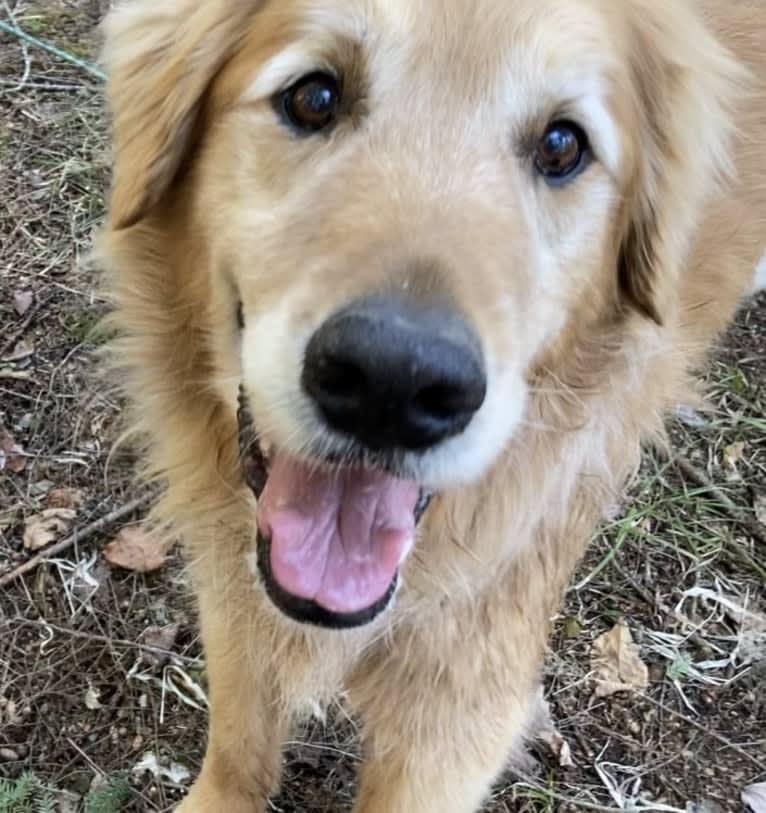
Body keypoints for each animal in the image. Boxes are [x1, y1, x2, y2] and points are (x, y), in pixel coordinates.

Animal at [99, 3, 764, 808]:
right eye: (313, 97)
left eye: (562, 145)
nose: (393, 383)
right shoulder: (235, 599)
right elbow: (238, 739)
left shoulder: (459, 711)